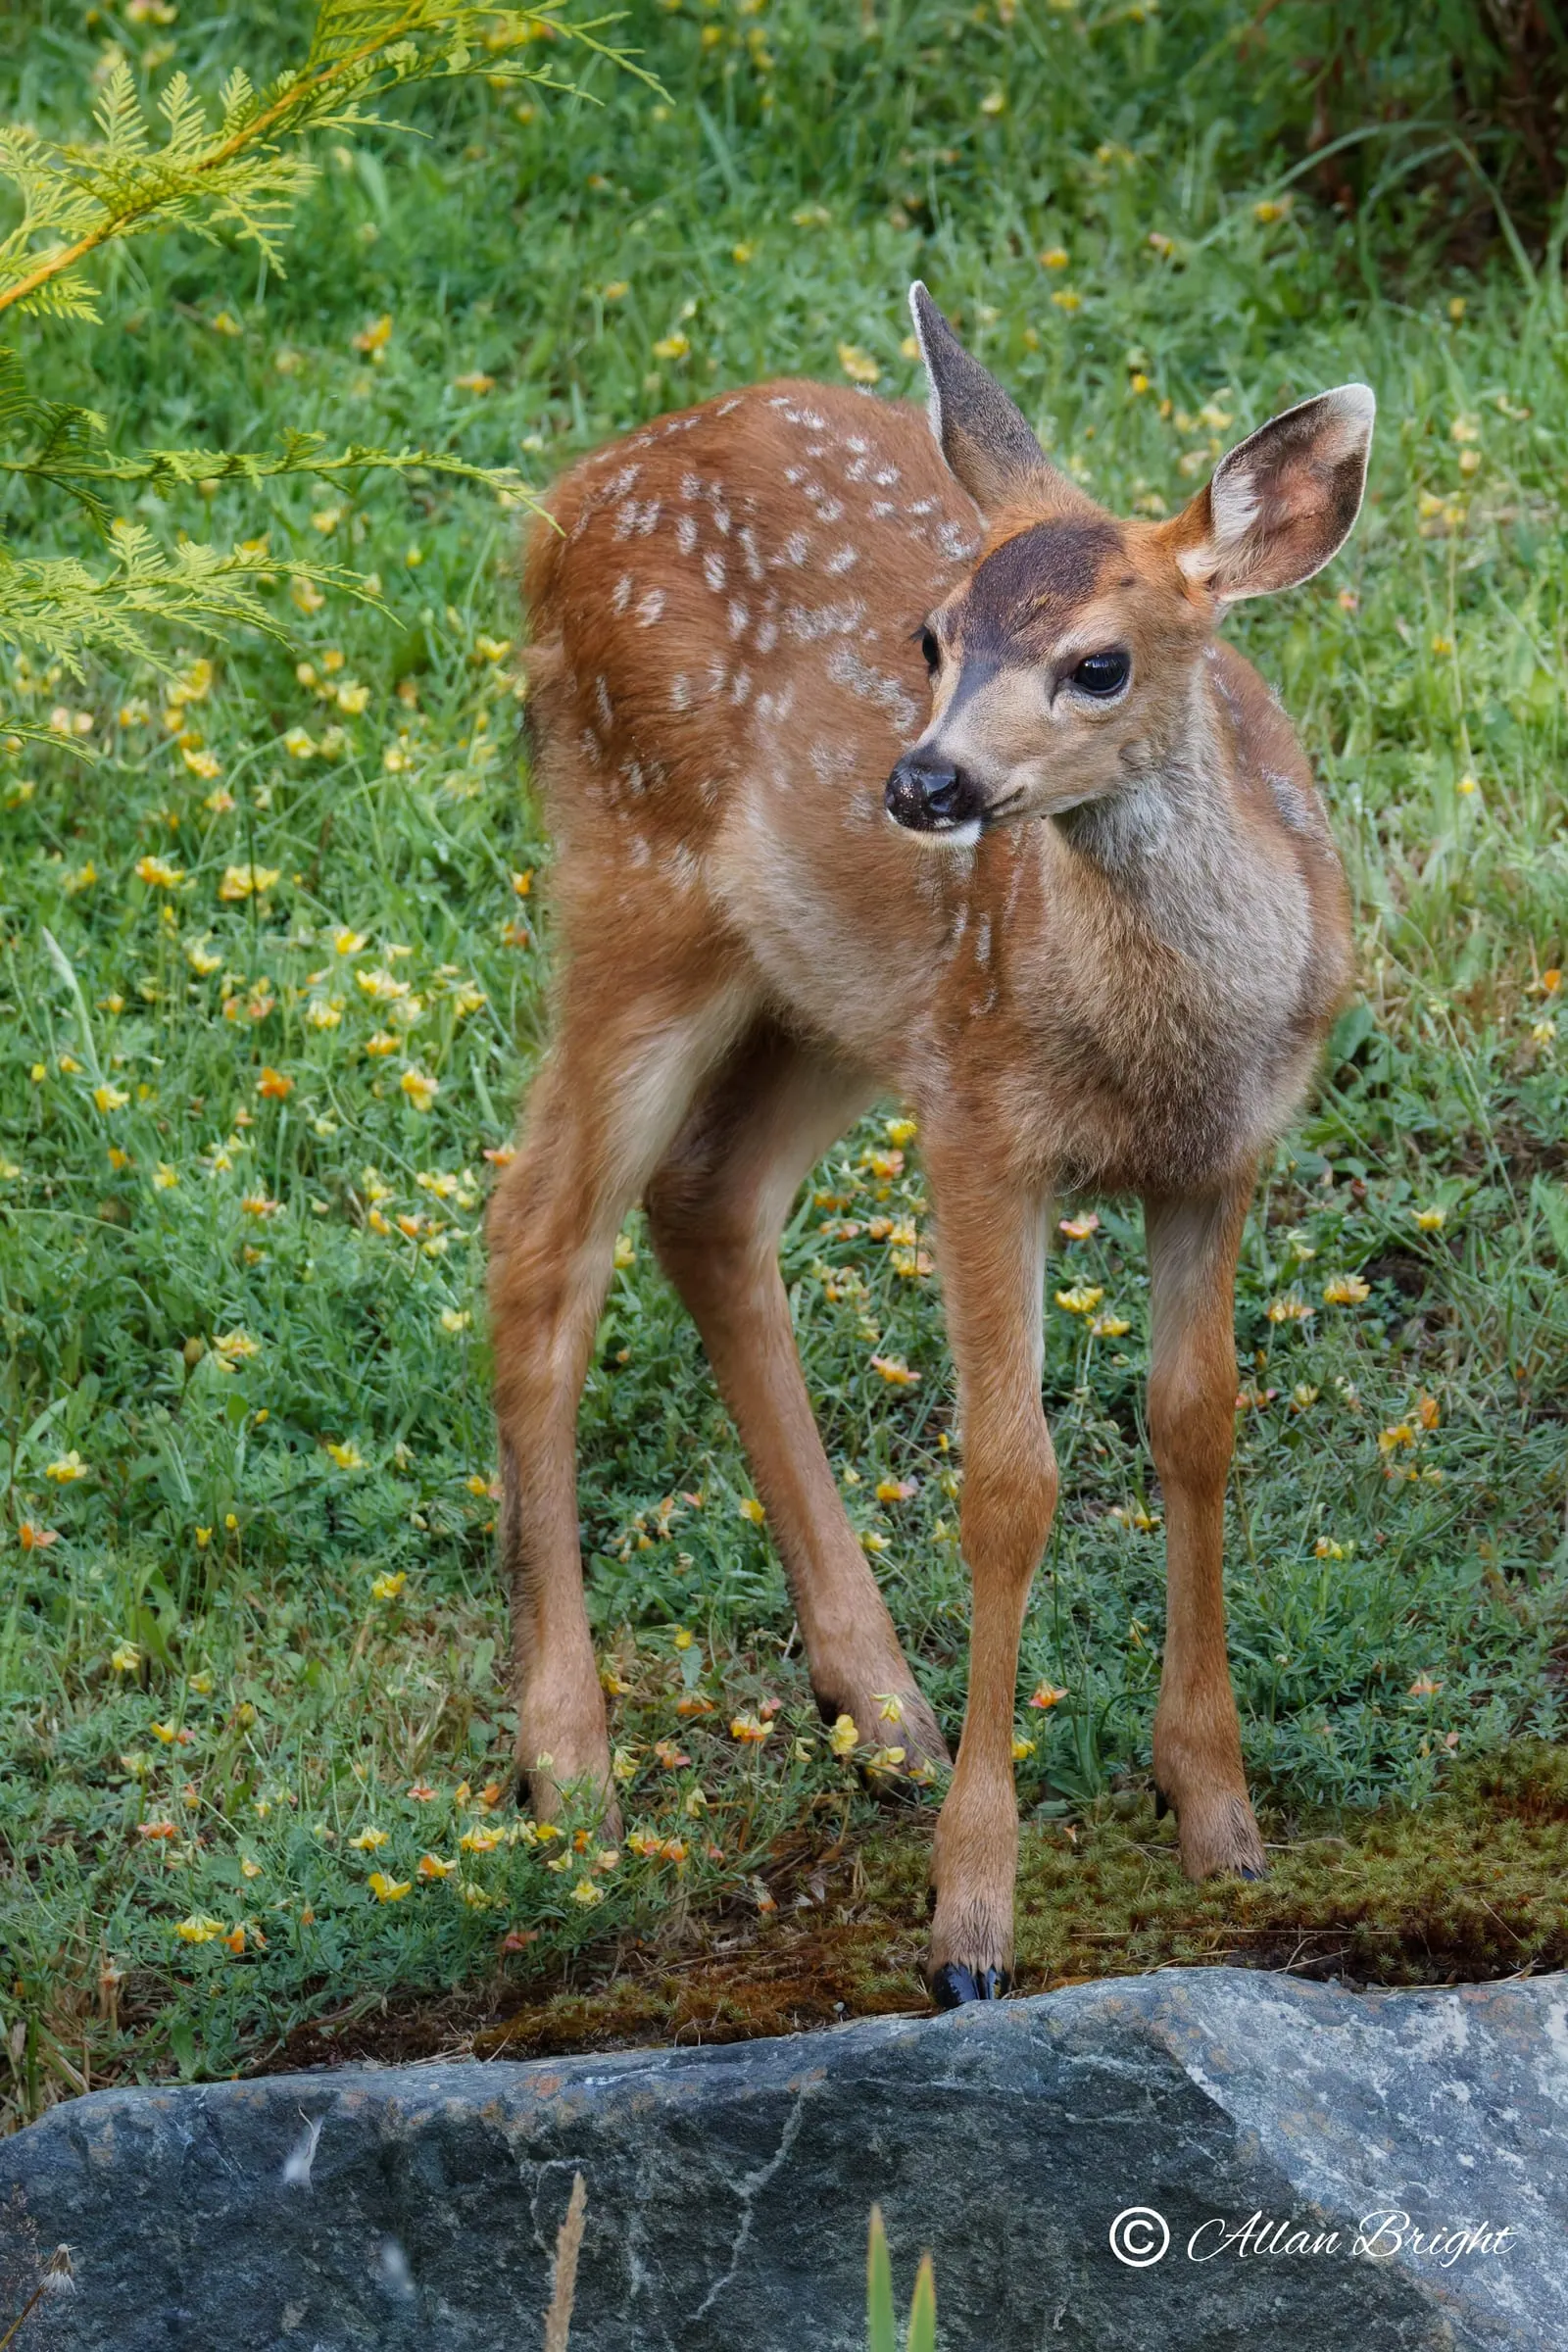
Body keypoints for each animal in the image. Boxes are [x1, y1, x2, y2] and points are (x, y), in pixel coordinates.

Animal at [488, 281, 1372, 2007]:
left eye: (1099, 663)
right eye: (933, 637)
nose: (924, 780)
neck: (1156, 1047)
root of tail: (565, 500)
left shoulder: (1223, 1154)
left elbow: (1197, 1426)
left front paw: (1217, 1814)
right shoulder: (980, 1124)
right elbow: (1009, 1479)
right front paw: (972, 1917)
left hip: (830, 996)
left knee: (706, 1200)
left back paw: (879, 1707)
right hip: (635, 889)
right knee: (540, 1236)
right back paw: (572, 1770)